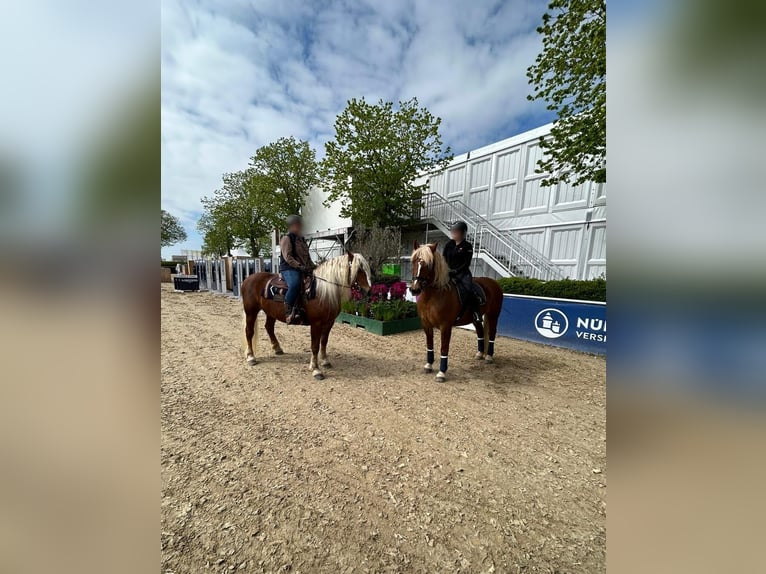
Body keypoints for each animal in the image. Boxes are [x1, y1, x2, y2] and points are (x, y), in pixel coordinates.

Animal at [240, 253, 372, 382]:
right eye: (359, 269)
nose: (368, 291)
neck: (322, 291)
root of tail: (248, 279)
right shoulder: (316, 323)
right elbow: (315, 346)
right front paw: (316, 370)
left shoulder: (329, 322)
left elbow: (324, 342)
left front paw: (325, 361)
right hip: (251, 311)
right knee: (249, 331)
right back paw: (251, 357)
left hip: (271, 313)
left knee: (269, 327)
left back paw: (277, 348)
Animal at [412, 243, 508, 382]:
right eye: (414, 261)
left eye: (429, 265)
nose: (414, 289)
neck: (433, 296)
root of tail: (494, 282)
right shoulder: (426, 324)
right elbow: (429, 345)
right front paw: (428, 365)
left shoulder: (445, 326)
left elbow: (444, 348)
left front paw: (441, 373)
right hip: (476, 318)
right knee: (480, 331)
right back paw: (480, 354)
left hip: (493, 315)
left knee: (492, 333)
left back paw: (489, 356)